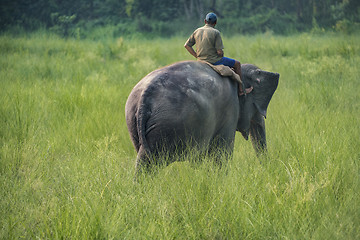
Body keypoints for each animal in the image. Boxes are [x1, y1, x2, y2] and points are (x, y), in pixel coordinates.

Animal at [125, 60, 280, 174]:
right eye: (256, 108)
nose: (267, 170)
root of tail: (145, 96)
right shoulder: (230, 110)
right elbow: (223, 153)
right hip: (167, 125)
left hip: (135, 122)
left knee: (144, 160)